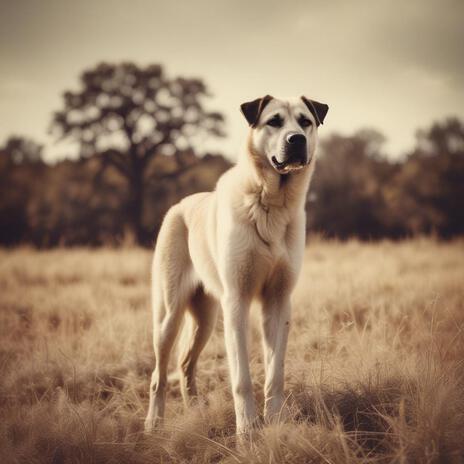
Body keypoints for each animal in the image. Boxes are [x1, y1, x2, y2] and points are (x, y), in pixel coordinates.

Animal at [143, 94, 328, 436]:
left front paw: (275, 422)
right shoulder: (237, 302)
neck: (272, 203)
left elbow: (275, 373)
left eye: (305, 122)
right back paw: (153, 423)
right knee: (158, 375)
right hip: (169, 316)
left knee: (185, 364)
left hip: (205, 318)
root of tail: (179, 205)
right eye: (274, 121)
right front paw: (247, 431)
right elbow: (242, 378)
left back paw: (196, 411)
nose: (296, 140)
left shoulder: (278, 301)